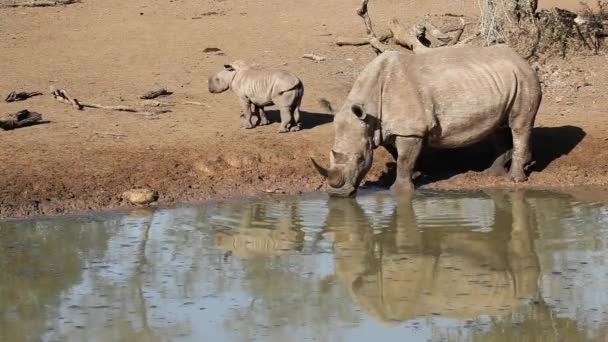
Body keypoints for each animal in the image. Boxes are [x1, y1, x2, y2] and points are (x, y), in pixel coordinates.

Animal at [314, 45, 540, 196]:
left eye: (361, 159)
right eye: (331, 155)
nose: (336, 193)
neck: (370, 111)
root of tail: (521, 59)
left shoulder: (410, 130)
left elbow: (404, 159)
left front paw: (400, 189)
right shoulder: (385, 128)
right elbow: (399, 156)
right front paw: (415, 174)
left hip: (525, 79)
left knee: (519, 126)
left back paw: (515, 180)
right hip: (503, 81)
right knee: (498, 127)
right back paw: (493, 174)